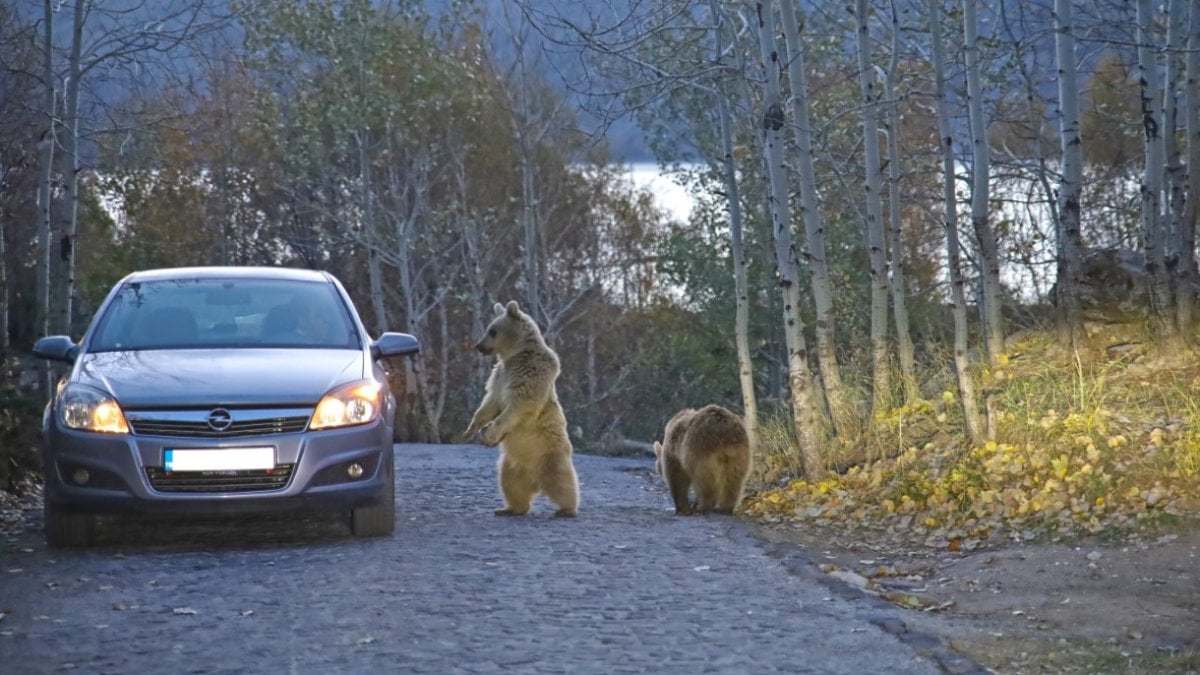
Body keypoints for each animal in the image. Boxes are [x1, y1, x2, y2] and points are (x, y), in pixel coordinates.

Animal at [463, 299, 580, 514]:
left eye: (492, 331)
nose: (479, 346)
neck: (515, 355)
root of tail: (536, 481)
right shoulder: (500, 376)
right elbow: (489, 403)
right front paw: (471, 429)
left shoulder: (531, 374)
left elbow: (518, 406)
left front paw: (489, 434)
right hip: (510, 465)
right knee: (512, 486)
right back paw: (508, 509)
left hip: (551, 455)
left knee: (563, 483)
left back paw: (567, 509)